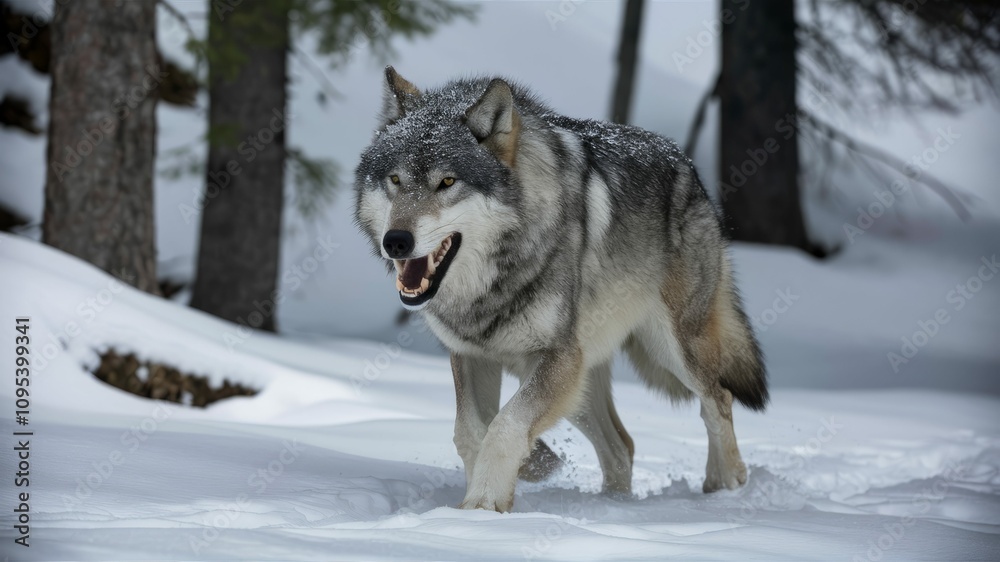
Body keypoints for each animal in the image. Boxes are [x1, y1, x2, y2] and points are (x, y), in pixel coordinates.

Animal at [354, 67, 768, 512]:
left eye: (446, 182)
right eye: (395, 180)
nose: (396, 241)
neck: (493, 284)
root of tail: (690, 169)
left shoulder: (558, 356)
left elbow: (504, 426)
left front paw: (483, 505)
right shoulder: (471, 356)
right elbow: (471, 432)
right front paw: (491, 497)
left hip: (670, 350)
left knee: (717, 400)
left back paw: (725, 484)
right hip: (579, 381)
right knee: (622, 446)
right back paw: (613, 506)